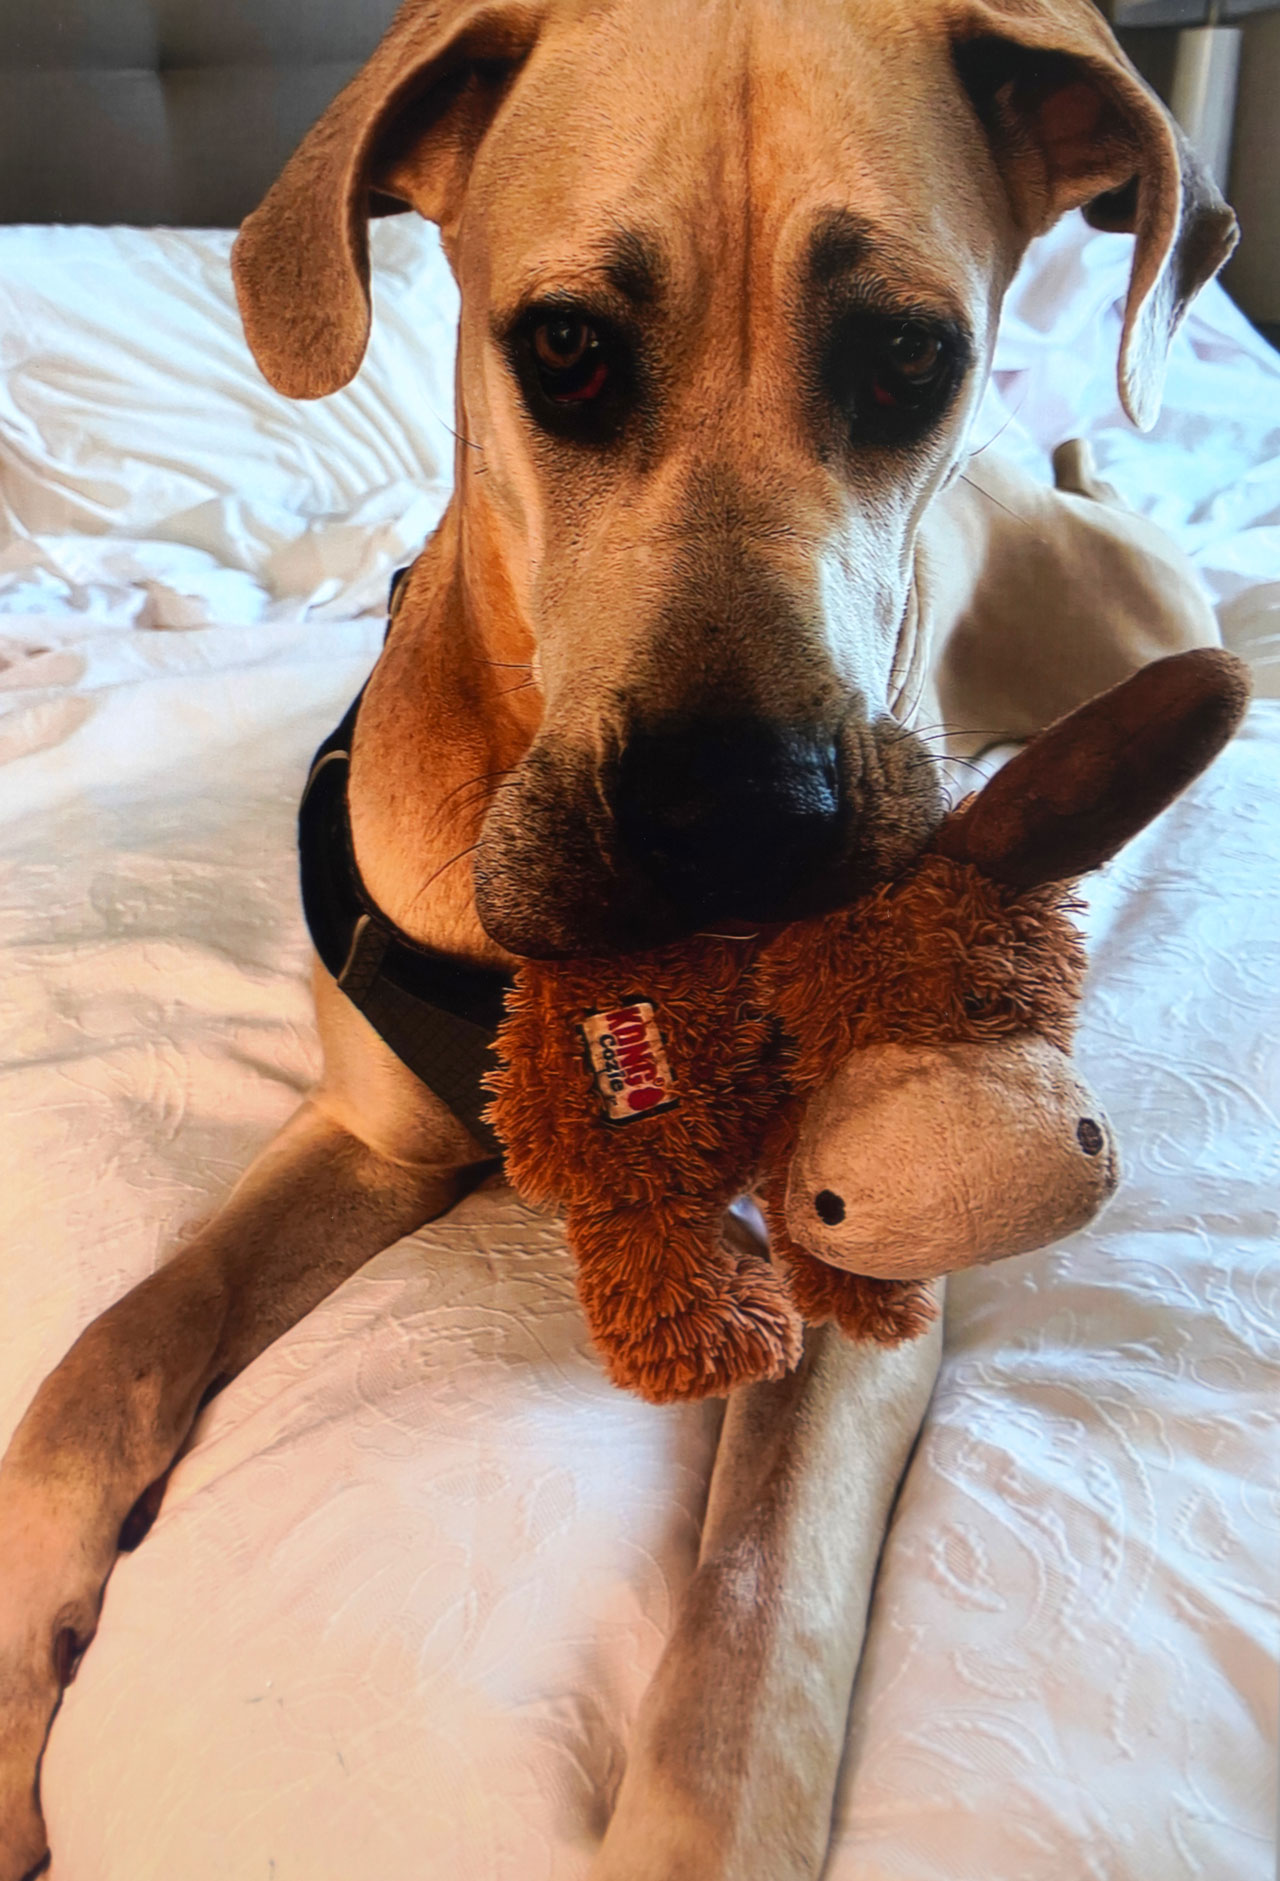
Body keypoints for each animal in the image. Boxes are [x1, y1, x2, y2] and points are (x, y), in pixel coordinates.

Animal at [0, 3, 1242, 1881]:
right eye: (569, 350)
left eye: (909, 356)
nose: (739, 814)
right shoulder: (367, 1133)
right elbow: (114, 1352)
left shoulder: (870, 1231)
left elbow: (754, 1624)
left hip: (1142, 620)